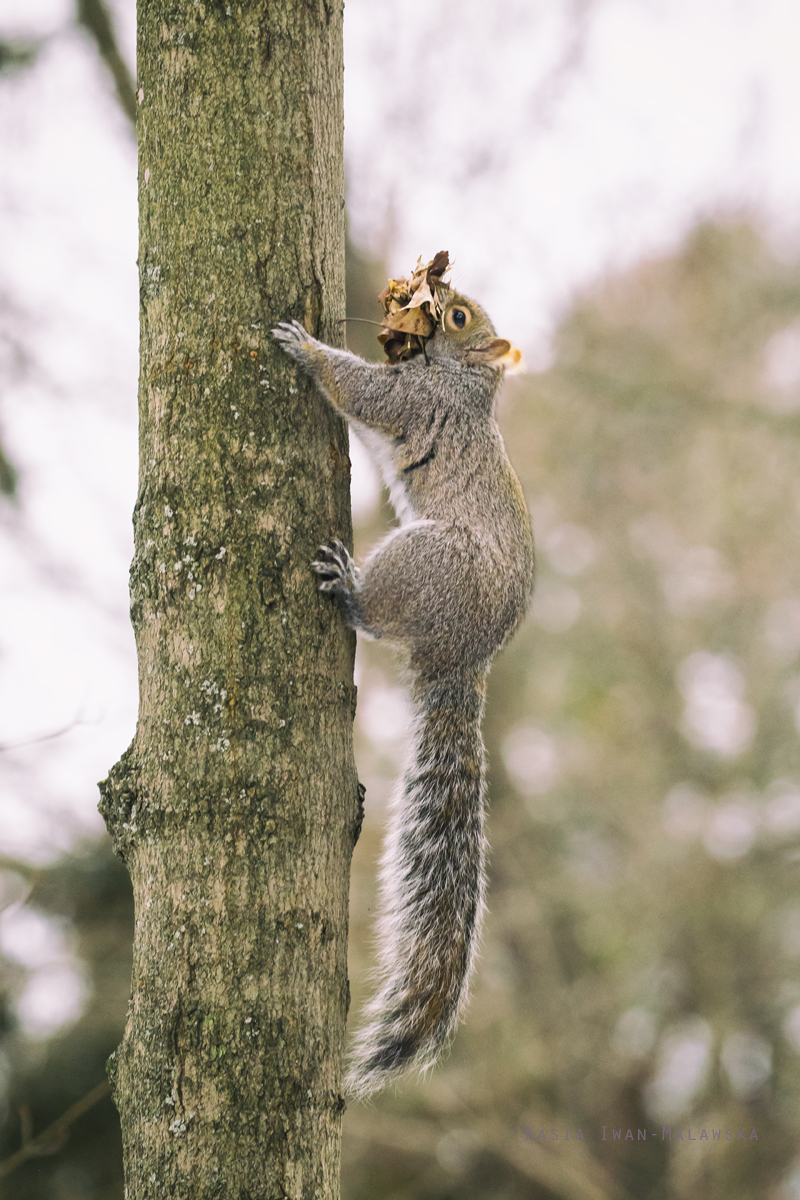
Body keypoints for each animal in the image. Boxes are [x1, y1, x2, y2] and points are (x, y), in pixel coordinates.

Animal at [272, 278, 534, 1099]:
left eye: (457, 317)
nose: (439, 287)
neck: (463, 381)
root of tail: (465, 656)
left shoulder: (415, 400)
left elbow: (365, 393)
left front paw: (305, 347)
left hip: (423, 560)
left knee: (375, 605)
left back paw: (350, 589)